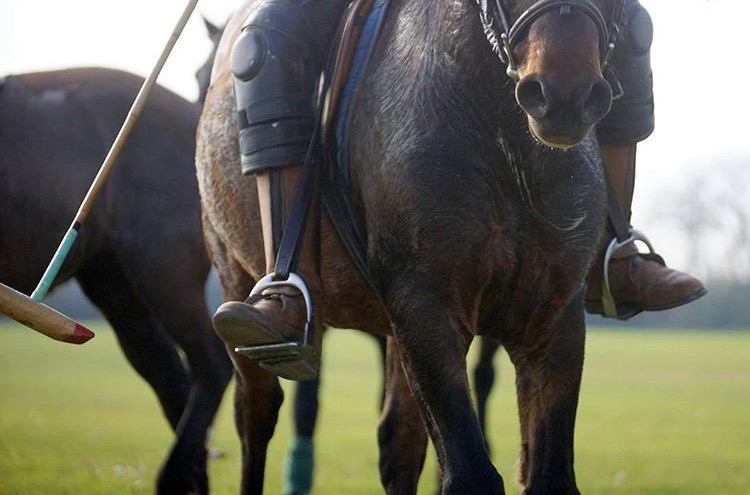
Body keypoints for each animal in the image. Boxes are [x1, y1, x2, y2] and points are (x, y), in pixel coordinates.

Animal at [197, 0, 620, 492]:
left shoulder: (553, 316)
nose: (565, 91)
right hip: (236, 276)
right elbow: (470, 473)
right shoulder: (424, 304)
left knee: (398, 442)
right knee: (256, 414)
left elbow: (548, 475)